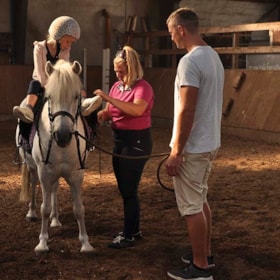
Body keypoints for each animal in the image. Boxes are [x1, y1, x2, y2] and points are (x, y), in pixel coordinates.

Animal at [16, 59, 95, 254]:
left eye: (76, 97)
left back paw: (55, 219)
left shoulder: (76, 175)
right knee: (34, 186)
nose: (62, 136)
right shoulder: (44, 173)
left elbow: (79, 209)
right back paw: (32, 213)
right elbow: (44, 208)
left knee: (54, 189)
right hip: (34, 168)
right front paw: (42, 243)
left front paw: (85, 243)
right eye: (50, 97)